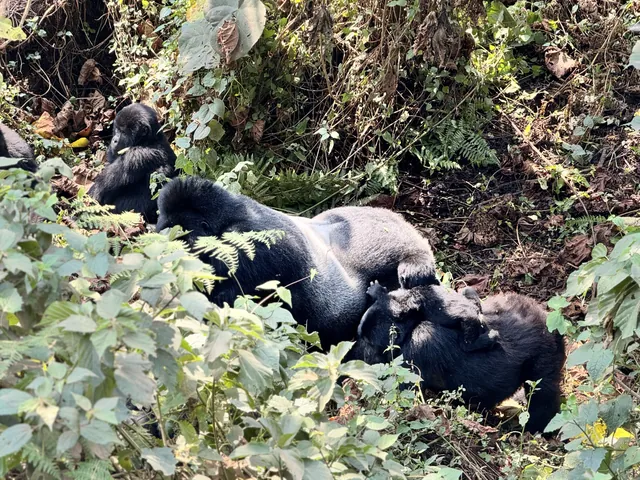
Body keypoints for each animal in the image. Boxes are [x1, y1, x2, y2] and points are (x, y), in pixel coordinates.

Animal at [358, 288, 566, 434]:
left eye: (371, 342)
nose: (364, 355)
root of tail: (545, 315)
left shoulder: (417, 347)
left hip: (545, 347)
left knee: (542, 392)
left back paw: (536, 429)